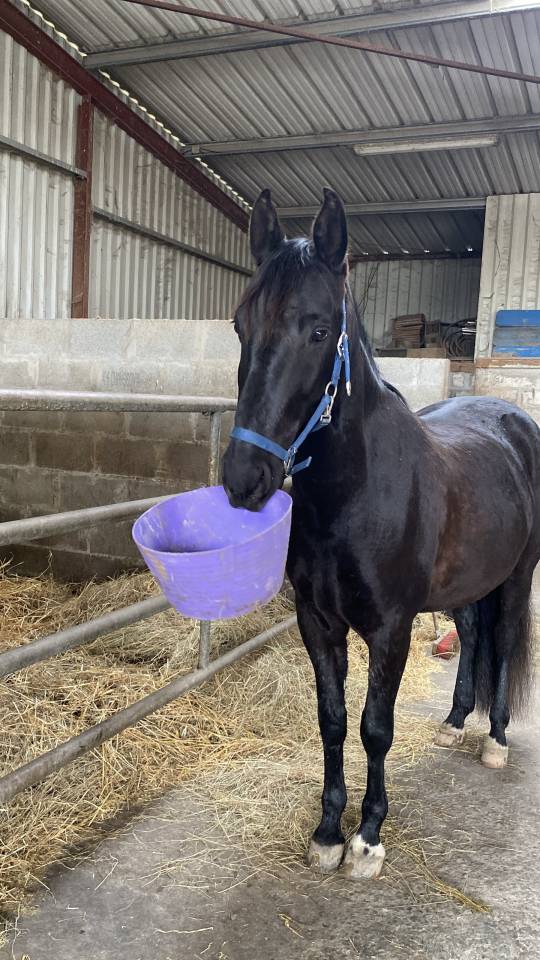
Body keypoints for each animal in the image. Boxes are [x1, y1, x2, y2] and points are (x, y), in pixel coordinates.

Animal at [222, 187, 539, 880]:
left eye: (319, 329)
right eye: (239, 325)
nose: (243, 478)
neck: (356, 494)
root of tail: (514, 421)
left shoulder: (390, 629)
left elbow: (376, 727)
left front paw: (367, 836)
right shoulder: (319, 623)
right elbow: (333, 721)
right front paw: (327, 832)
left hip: (517, 577)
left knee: (502, 640)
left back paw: (495, 740)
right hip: (466, 585)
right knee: (470, 635)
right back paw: (454, 722)